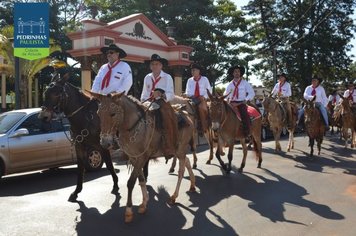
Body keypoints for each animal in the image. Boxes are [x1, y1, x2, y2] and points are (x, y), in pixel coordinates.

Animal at [38, 74, 118, 202]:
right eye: (46, 92)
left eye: (56, 94)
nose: (43, 116)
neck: (86, 118)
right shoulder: (79, 146)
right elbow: (80, 168)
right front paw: (76, 192)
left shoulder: (103, 147)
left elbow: (110, 165)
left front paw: (116, 185)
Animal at [87, 92, 197, 223]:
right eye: (99, 113)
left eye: (113, 113)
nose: (104, 143)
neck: (134, 127)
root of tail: (186, 115)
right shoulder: (134, 158)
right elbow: (141, 179)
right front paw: (144, 204)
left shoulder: (141, 158)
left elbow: (131, 182)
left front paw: (129, 211)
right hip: (178, 151)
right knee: (187, 161)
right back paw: (192, 185)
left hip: (180, 150)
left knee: (181, 171)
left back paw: (174, 196)